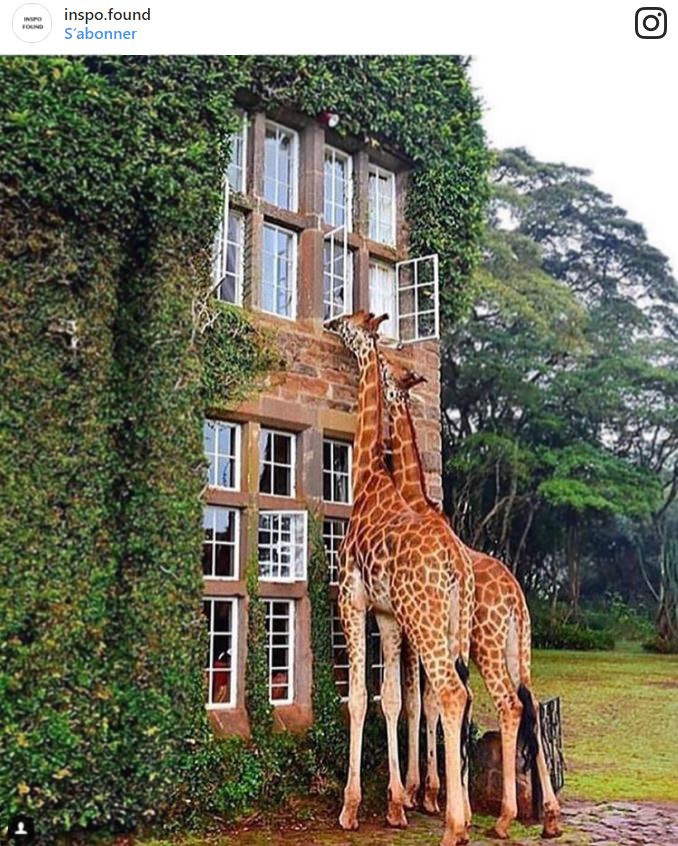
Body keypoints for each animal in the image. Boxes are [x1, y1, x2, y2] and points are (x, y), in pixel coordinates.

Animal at [326, 314, 476, 846]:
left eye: (351, 324)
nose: (331, 321)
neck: (371, 478)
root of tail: (456, 562)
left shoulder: (352, 598)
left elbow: (361, 699)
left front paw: (353, 807)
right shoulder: (389, 615)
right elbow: (391, 698)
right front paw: (396, 802)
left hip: (426, 620)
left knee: (450, 694)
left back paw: (454, 825)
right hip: (451, 625)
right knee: (463, 697)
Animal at [380, 352, 564, 840]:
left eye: (388, 376)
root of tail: (517, 596)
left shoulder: (415, 632)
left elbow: (418, 702)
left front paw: (423, 793)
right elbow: (428, 704)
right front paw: (435, 792)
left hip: (487, 644)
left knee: (507, 703)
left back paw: (502, 818)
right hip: (519, 648)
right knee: (531, 703)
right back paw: (549, 815)